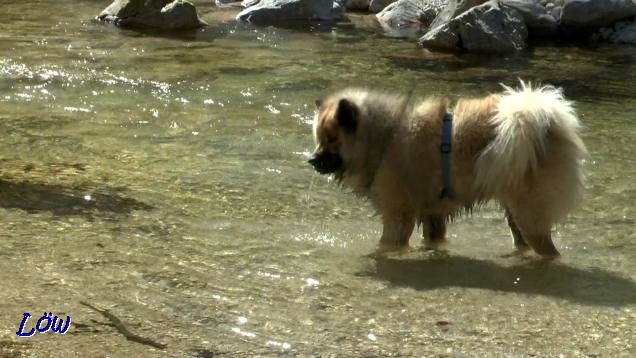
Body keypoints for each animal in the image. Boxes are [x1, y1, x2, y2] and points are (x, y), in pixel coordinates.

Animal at [308, 81, 588, 258]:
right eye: (318, 139)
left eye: (331, 139)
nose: (312, 160)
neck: (384, 138)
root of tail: (550, 124)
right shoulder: (433, 214)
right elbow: (433, 240)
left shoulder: (398, 214)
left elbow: (388, 243)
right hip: (516, 215)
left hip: (530, 214)